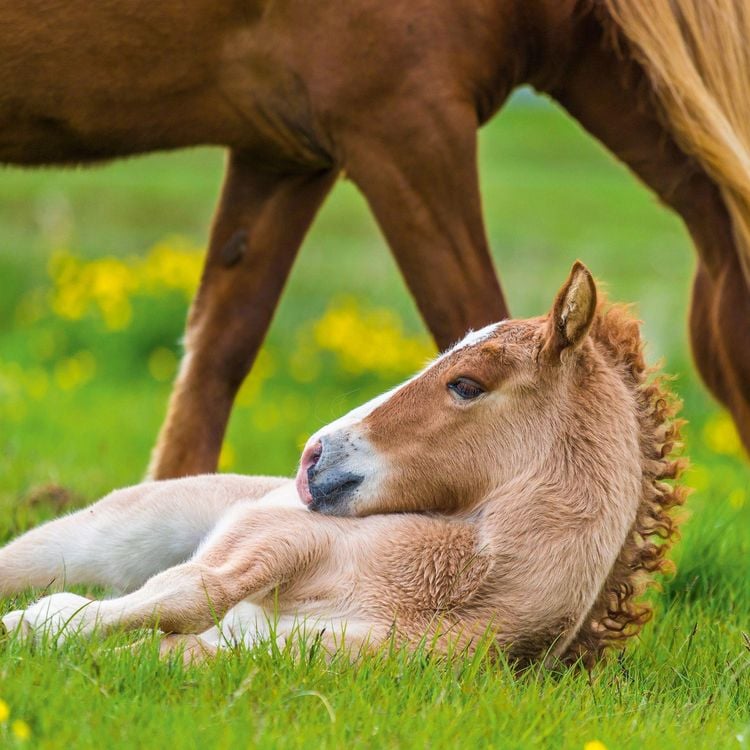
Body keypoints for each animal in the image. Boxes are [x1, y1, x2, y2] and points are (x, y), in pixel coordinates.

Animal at [0, 264, 687, 667]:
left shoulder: (291, 656)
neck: (454, 591)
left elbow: (159, 649)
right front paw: (32, 623)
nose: (314, 456)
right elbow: (192, 591)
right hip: (112, 532)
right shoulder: (274, 536)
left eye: (466, 384)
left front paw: (45, 628)